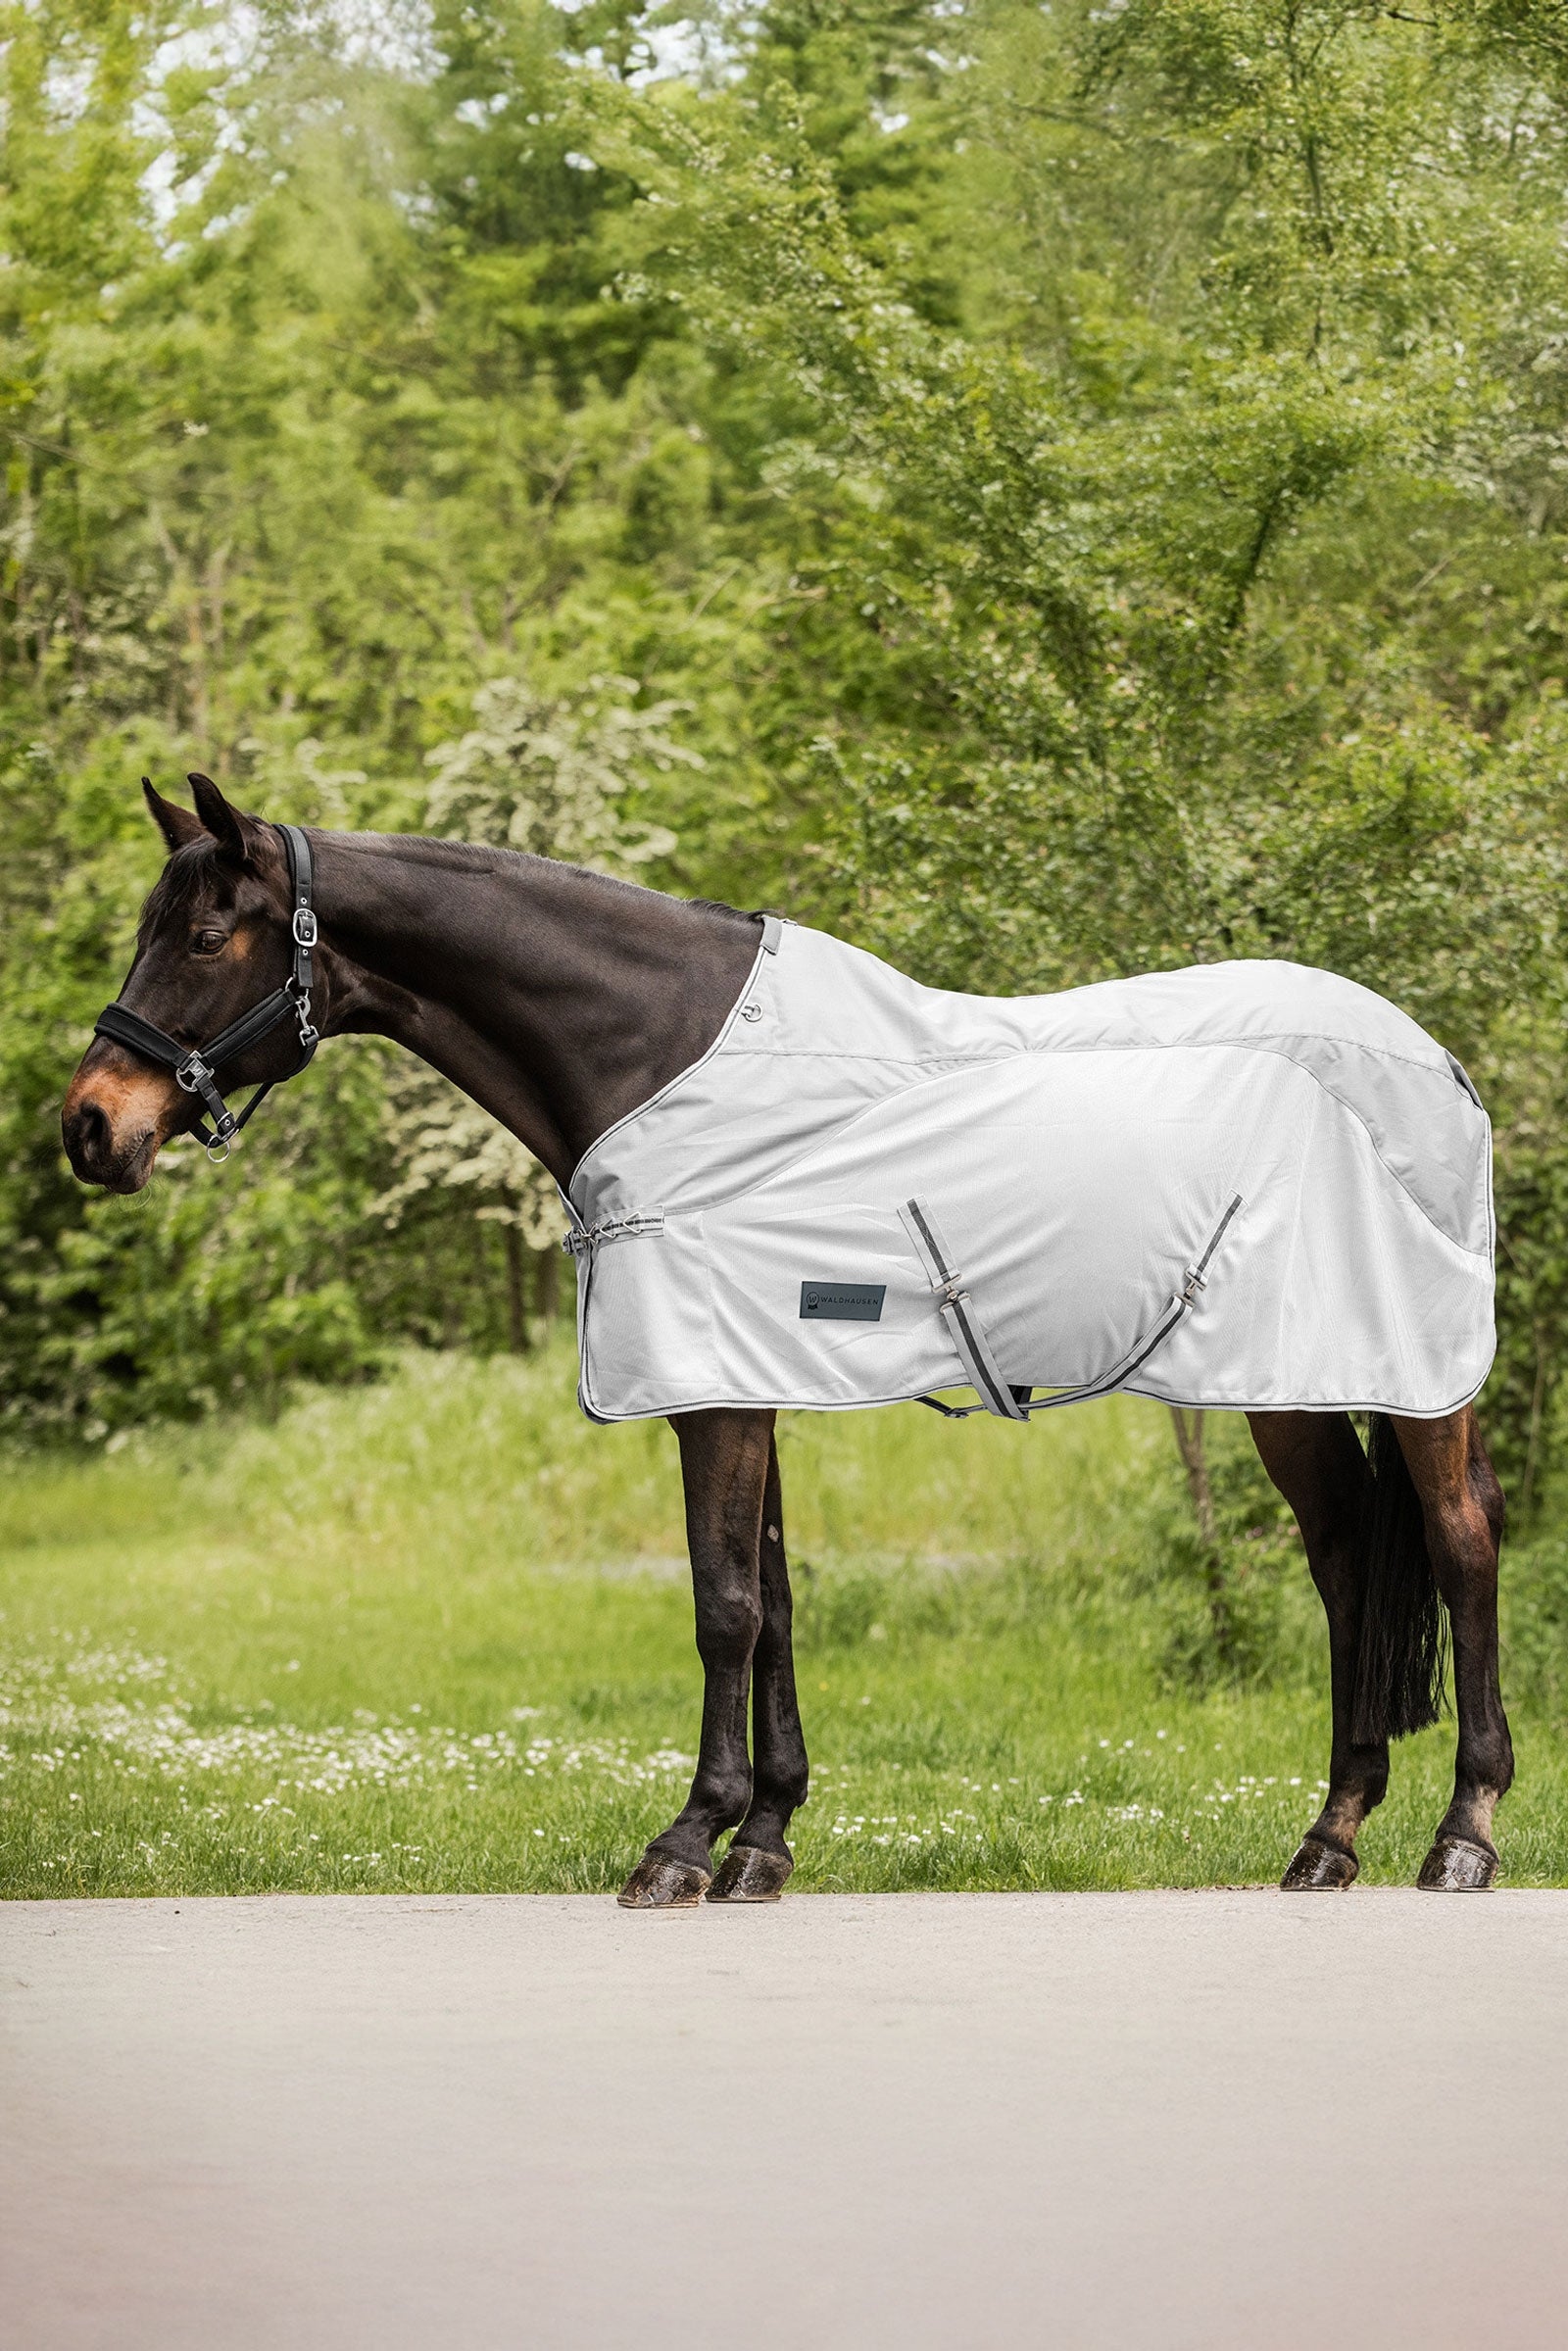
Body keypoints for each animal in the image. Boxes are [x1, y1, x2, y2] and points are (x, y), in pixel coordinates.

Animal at [61, 775, 1514, 1902]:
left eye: (206, 933)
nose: (89, 1125)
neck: (661, 1054)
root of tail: (1434, 1061)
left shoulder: (711, 1386)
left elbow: (724, 1605)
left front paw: (683, 1843)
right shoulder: (741, 1372)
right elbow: (773, 1606)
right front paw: (763, 1839)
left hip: (1417, 1380)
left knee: (1456, 1543)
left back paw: (1462, 1835)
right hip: (1297, 1382)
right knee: (1346, 1560)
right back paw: (1329, 1837)